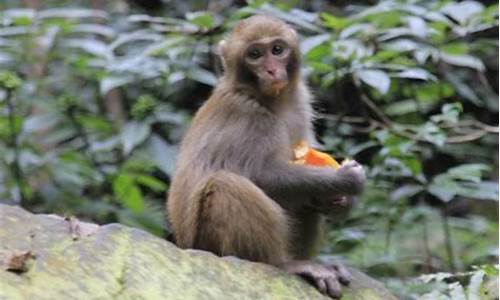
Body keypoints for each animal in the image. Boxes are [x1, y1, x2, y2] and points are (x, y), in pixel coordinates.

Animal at [166, 14, 366, 298]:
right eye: (255, 54)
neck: (268, 99)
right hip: (210, 246)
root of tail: (185, 246)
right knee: (226, 185)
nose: (272, 70)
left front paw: (340, 201)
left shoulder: (300, 102)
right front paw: (345, 180)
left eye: (277, 50)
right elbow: (261, 175)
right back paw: (285, 264)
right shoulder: (247, 115)